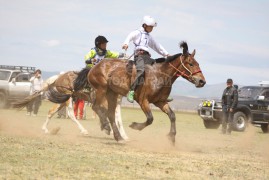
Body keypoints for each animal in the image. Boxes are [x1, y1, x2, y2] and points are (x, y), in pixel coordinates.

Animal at [74, 41, 205, 145]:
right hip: (101, 90)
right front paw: (135, 126)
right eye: (191, 63)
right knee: (96, 107)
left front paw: (171, 137)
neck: (159, 75)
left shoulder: (160, 102)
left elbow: (172, 116)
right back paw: (106, 127)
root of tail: (94, 67)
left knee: (110, 114)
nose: (202, 81)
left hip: (112, 94)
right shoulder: (143, 101)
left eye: (198, 63)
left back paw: (119, 137)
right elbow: (150, 118)